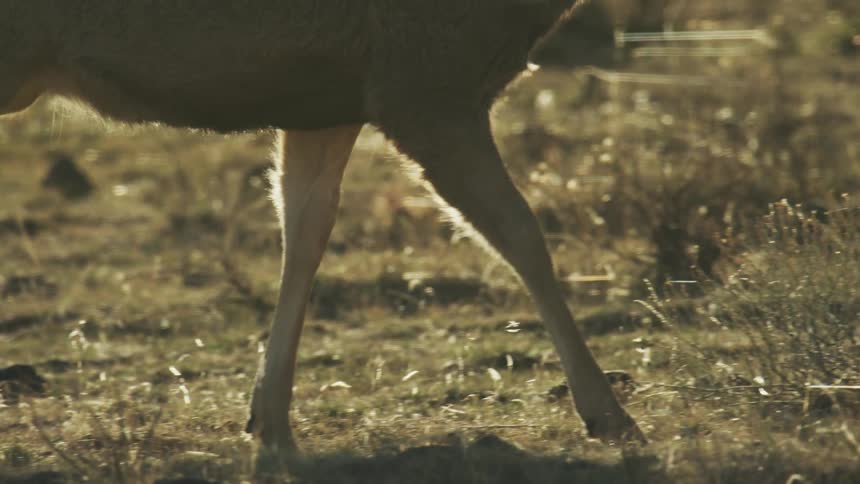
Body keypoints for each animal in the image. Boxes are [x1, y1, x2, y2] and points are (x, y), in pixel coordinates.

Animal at [1, 0, 644, 458]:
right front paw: (610, 415)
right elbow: (519, 232)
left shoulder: (328, 104)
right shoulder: (423, 82)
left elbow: (306, 224)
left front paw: (269, 420)